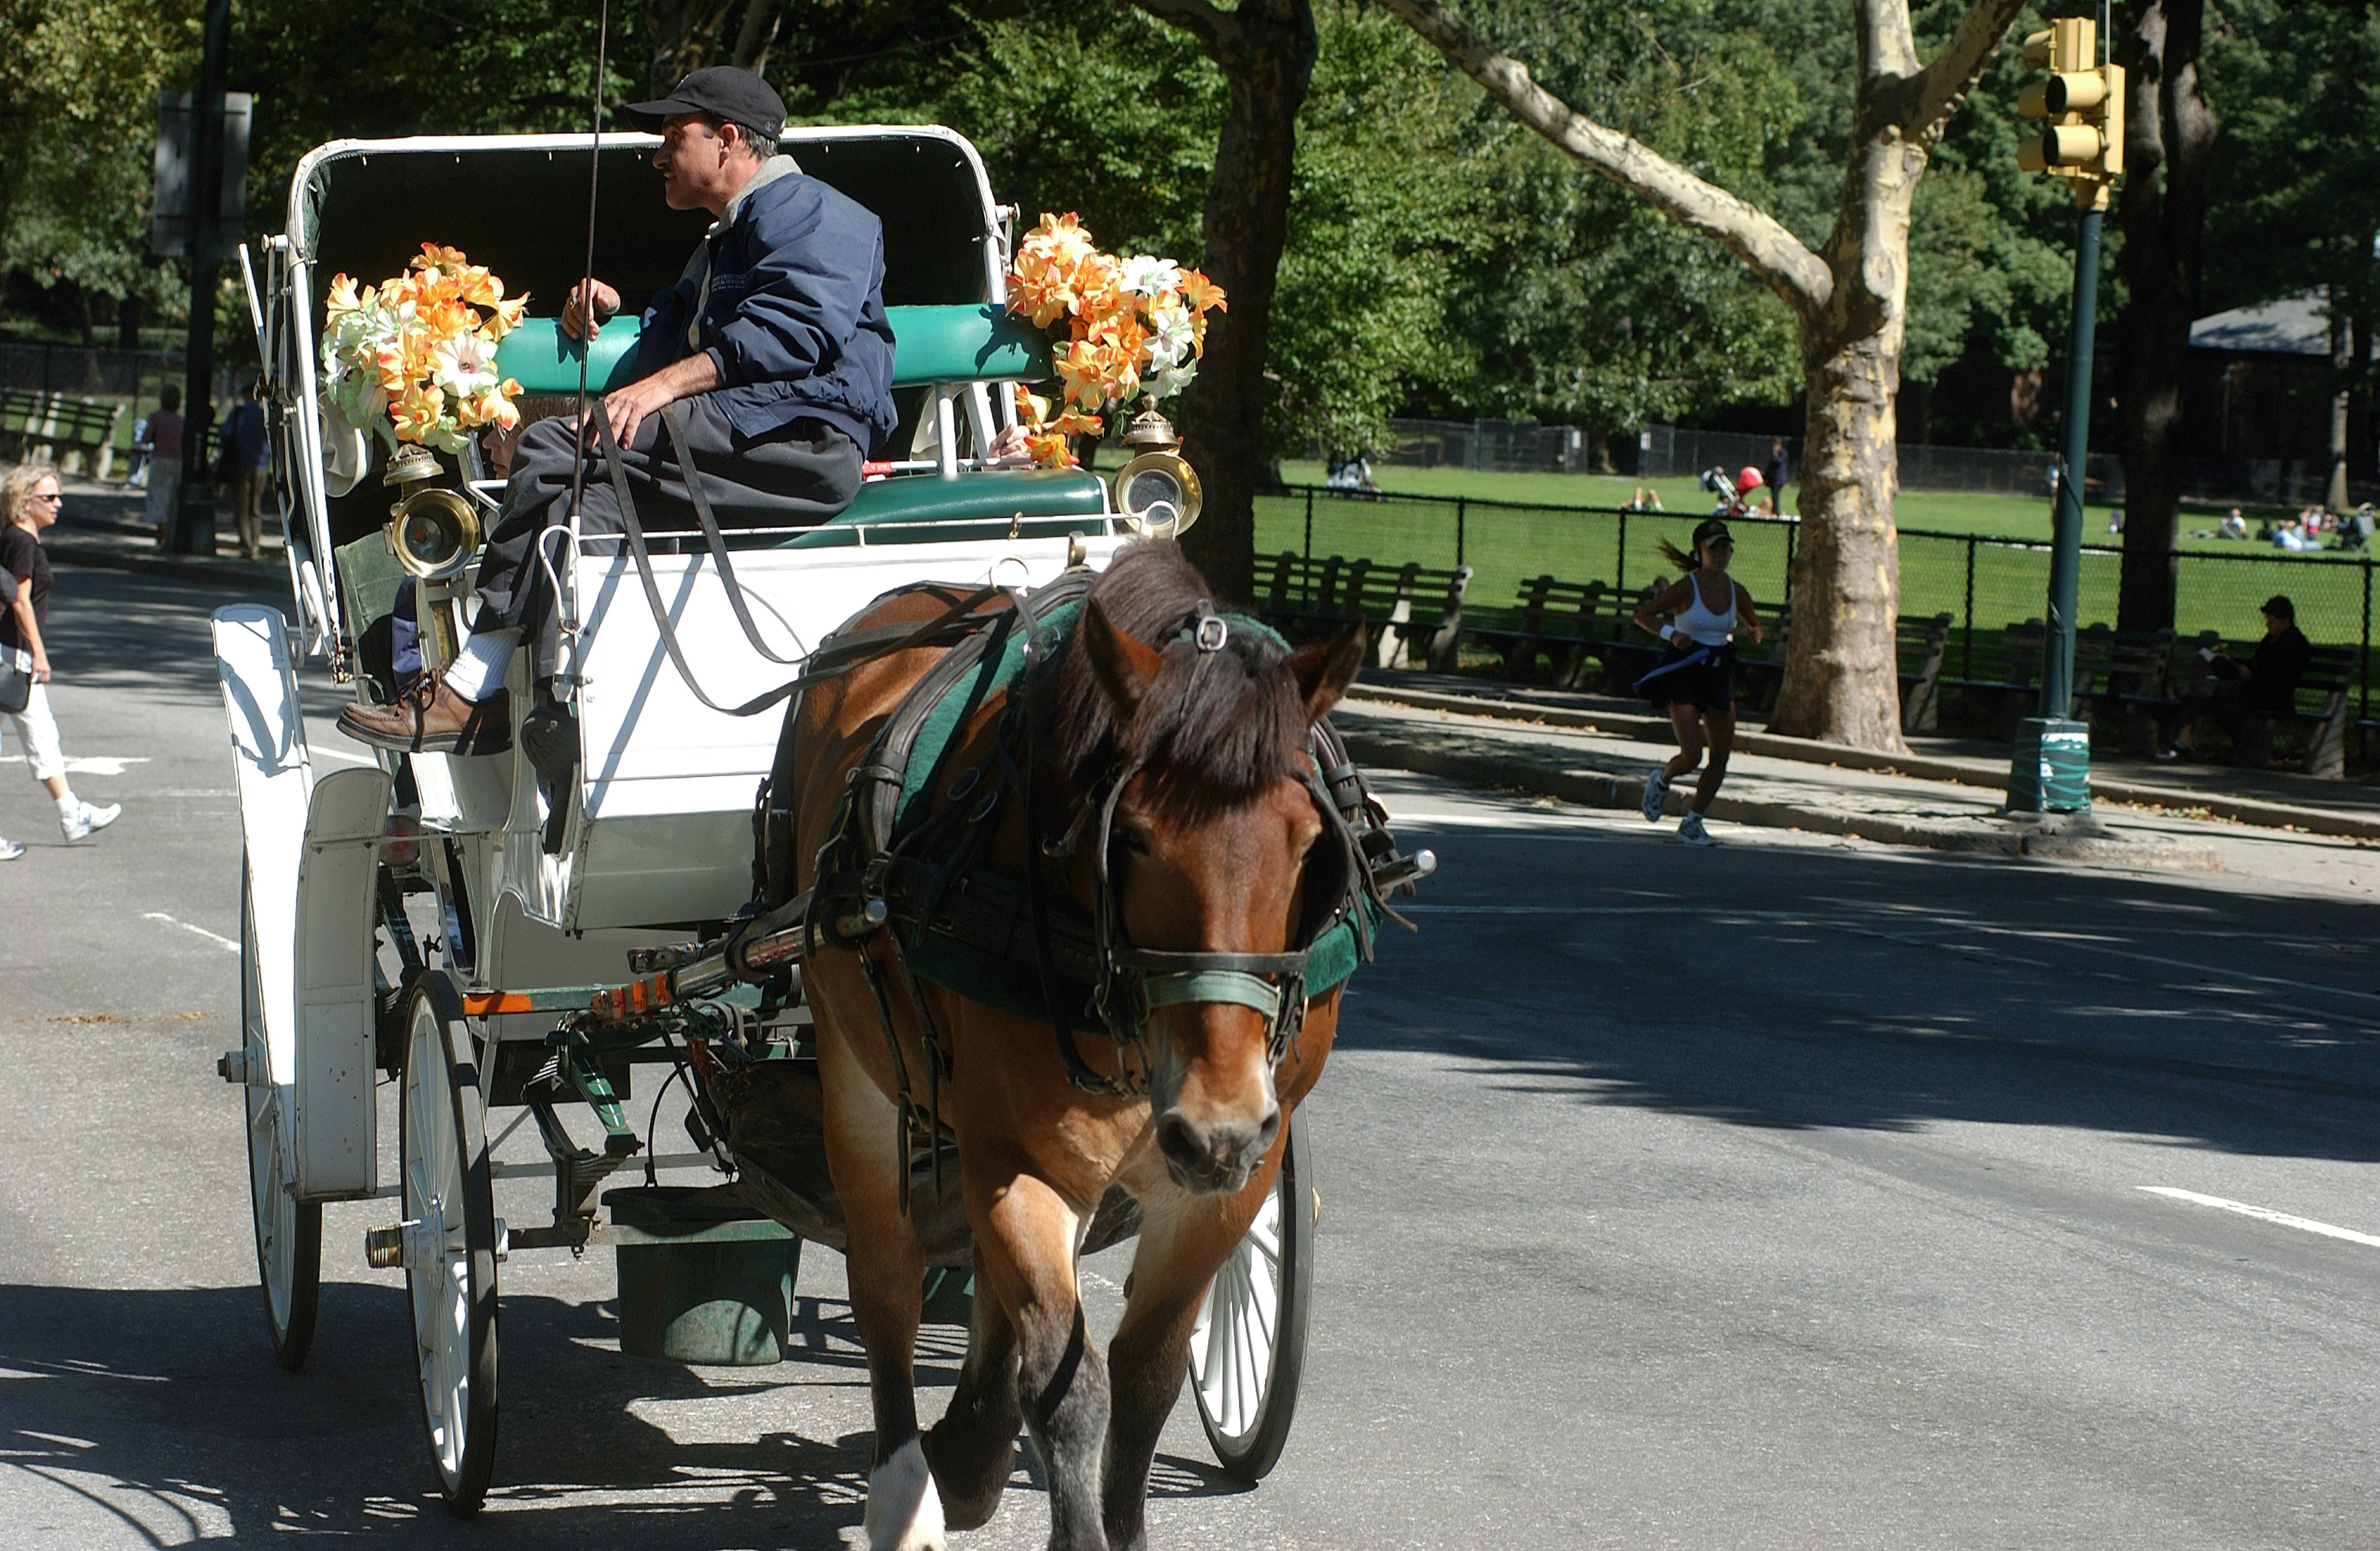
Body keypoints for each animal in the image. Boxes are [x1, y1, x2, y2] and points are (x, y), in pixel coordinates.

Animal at [785, 540, 1361, 1541]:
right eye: (1130, 836)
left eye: (1306, 841)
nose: (1217, 1123)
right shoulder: (1020, 1157)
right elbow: (1069, 1379)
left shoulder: (1237, 1173)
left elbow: (1148, 1369)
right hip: (856, 1073)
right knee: (888, 1281)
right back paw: (907, 1484)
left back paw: (969, 1446)